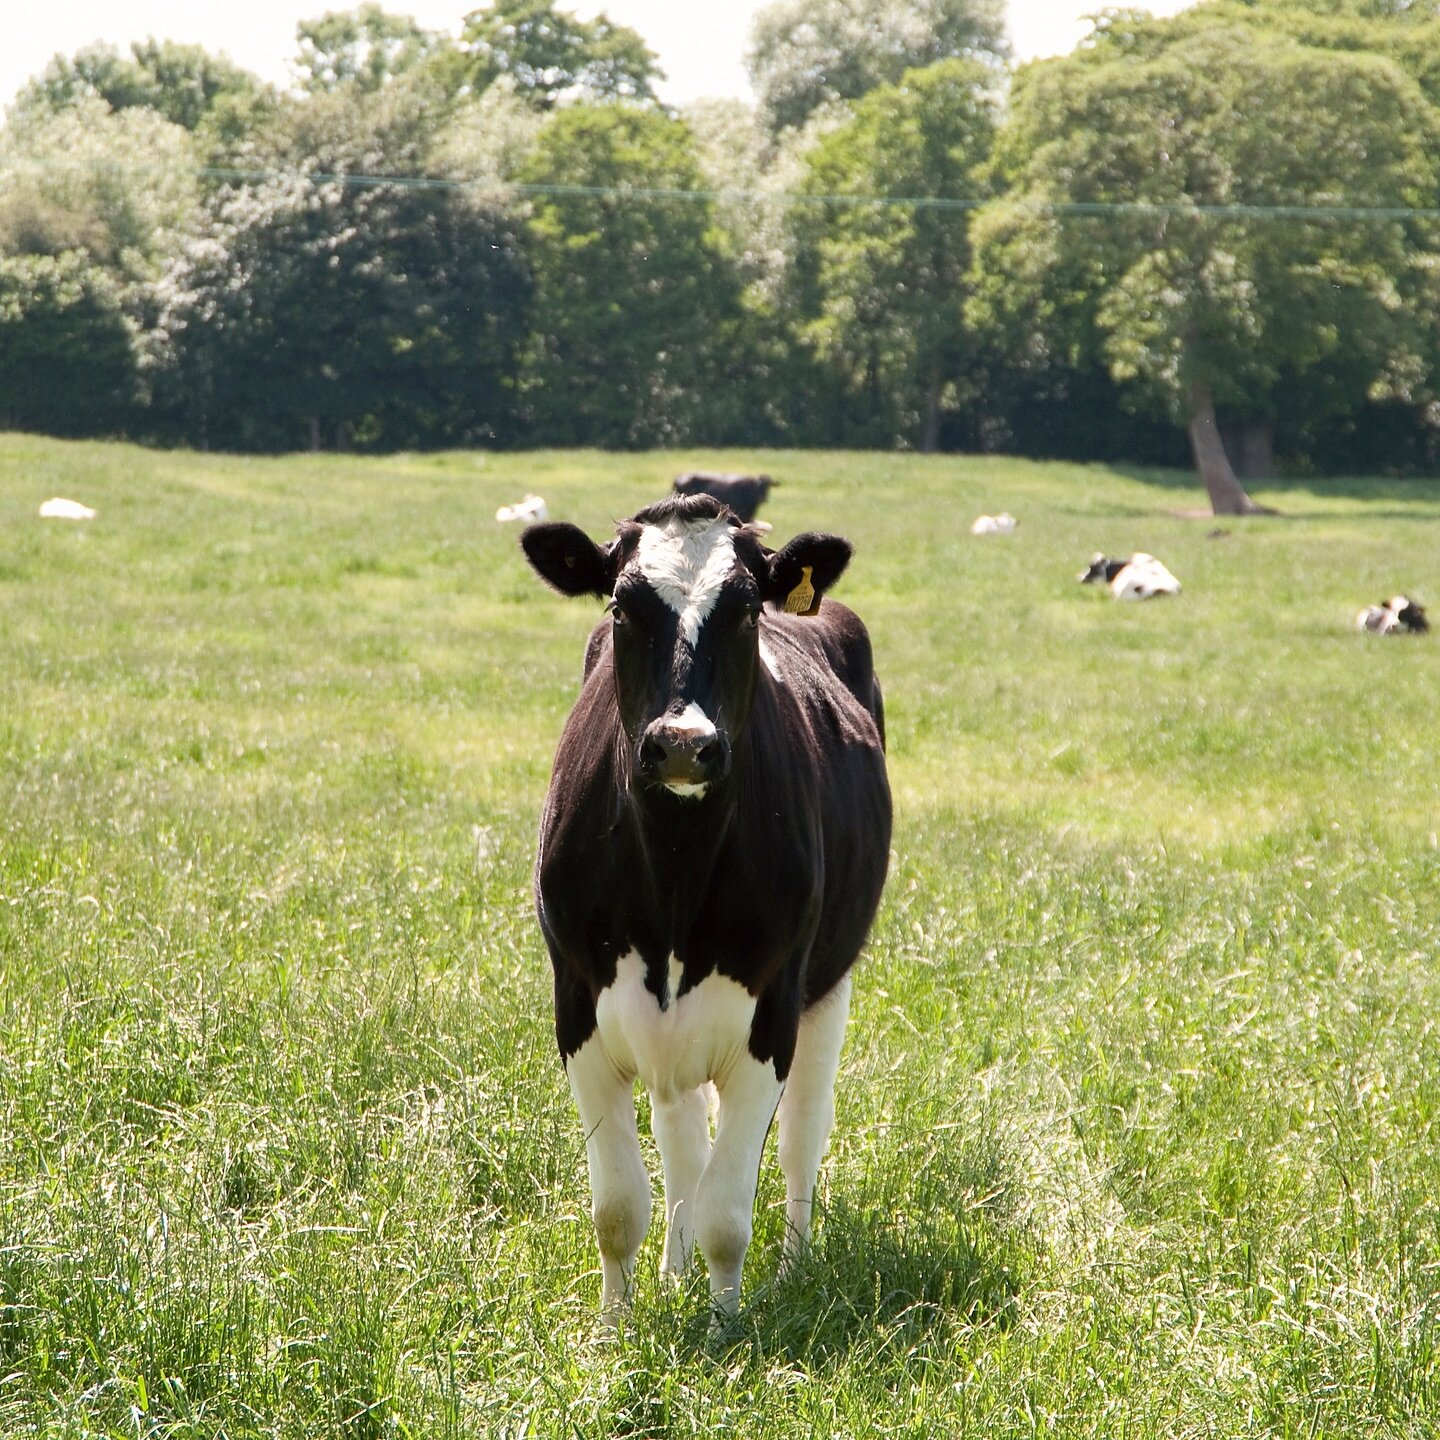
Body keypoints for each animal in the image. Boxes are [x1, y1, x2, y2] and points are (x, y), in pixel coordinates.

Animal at [521, 492, 887, 1319]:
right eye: (622, 606)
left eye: (746, 609)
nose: (684, 744)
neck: (674, 871)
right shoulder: (577, 1003)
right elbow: (619, 1204)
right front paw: (617, 1325)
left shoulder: (772, 1010)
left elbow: (728, 1210)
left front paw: (725, 1325)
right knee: (682, 1132)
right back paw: (674, 1272)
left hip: (828, 985)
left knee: (801, 1135)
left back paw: (792, 1267)